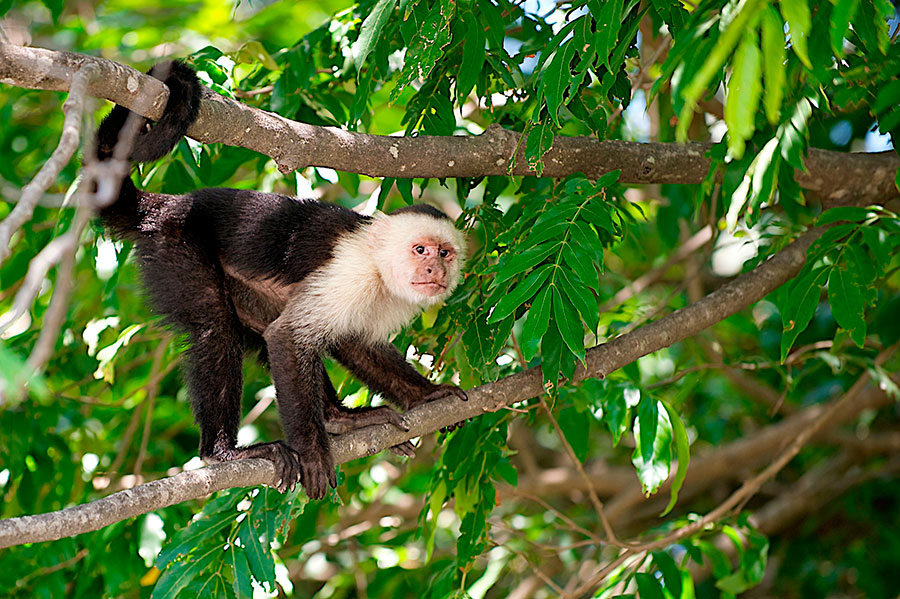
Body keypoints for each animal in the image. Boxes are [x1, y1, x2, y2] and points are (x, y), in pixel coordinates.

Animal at [94, 62, 468, 502]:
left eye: (445, 253)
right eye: (420, 250)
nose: (434, 272)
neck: (379, 269)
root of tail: (169, 207)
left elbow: (355, 345)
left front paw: (425, 394)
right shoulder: (350, 272)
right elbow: (289, 339)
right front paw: (312, 451)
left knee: (267, 328)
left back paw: (339, 419)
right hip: (178, 245)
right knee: (218, 328)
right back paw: (223, 452)